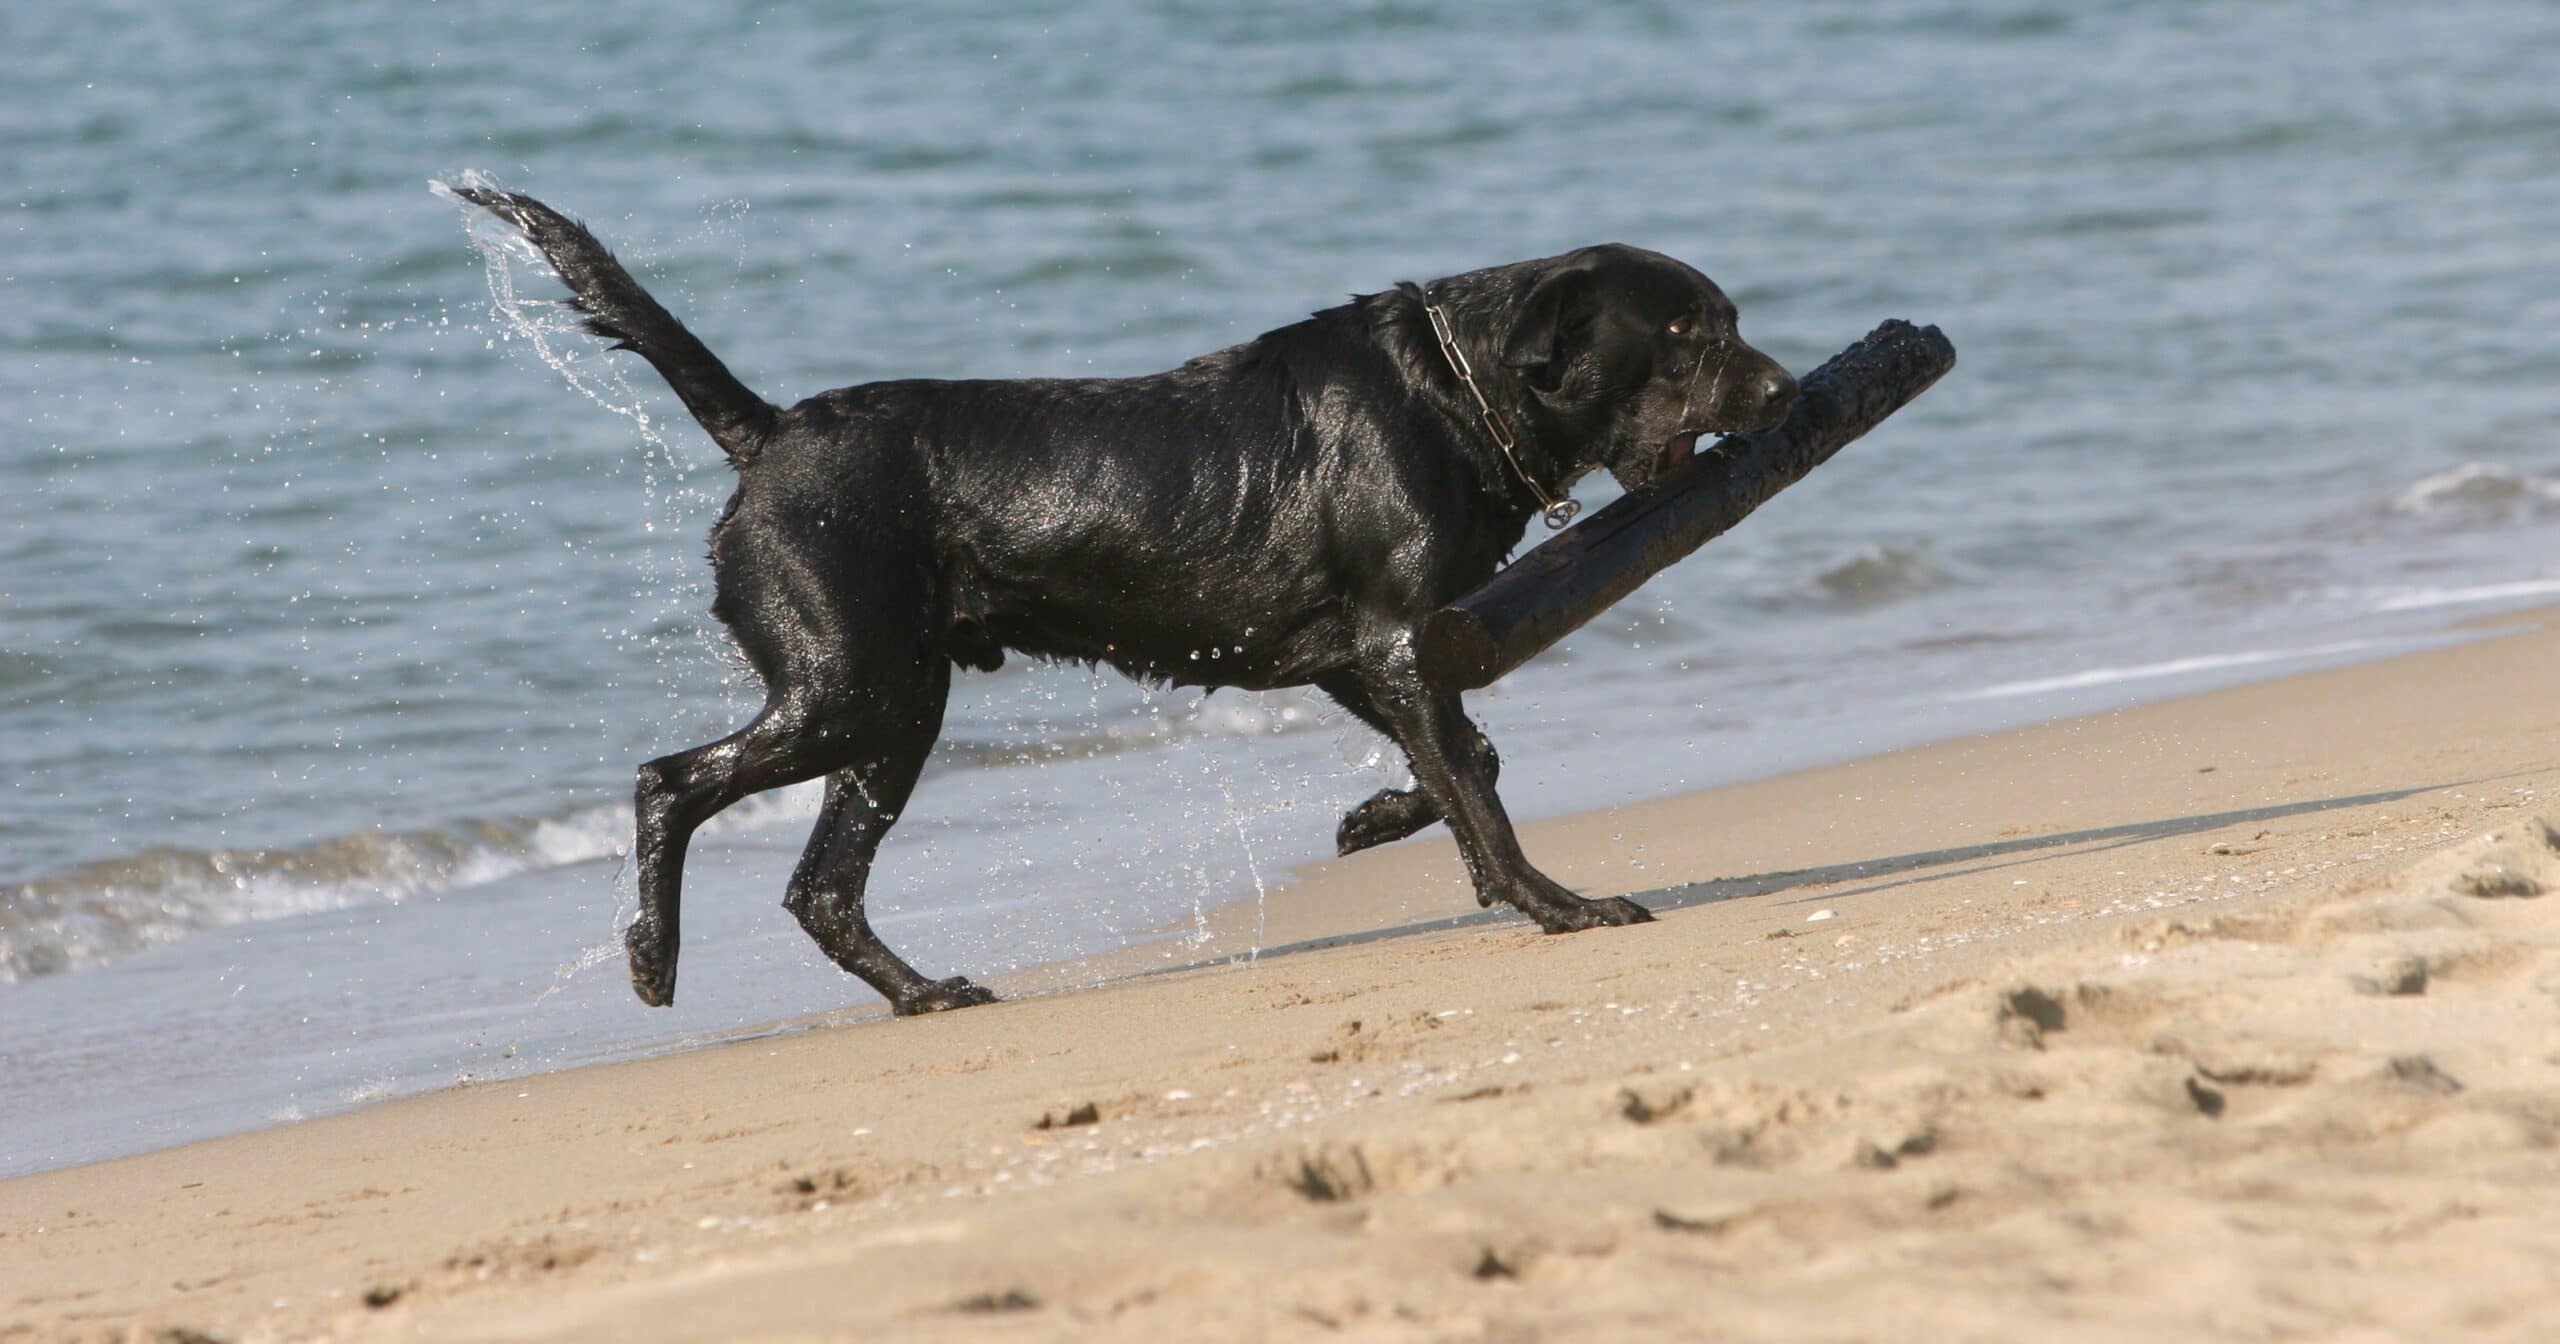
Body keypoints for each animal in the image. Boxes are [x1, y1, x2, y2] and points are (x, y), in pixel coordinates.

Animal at [460, 185, 1792, 1003]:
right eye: (1686, 331)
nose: (1783, 392)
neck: (1454, 391)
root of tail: (771, 432)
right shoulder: (1397, 645)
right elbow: (1481, 787)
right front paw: (1553, 906)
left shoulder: (1360, 655)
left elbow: (1469, 766)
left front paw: (1376, 822)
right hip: (852, 686)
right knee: (667, 784)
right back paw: (653, 955)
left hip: (894, 712)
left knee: (819, 888)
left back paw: (924, 995)